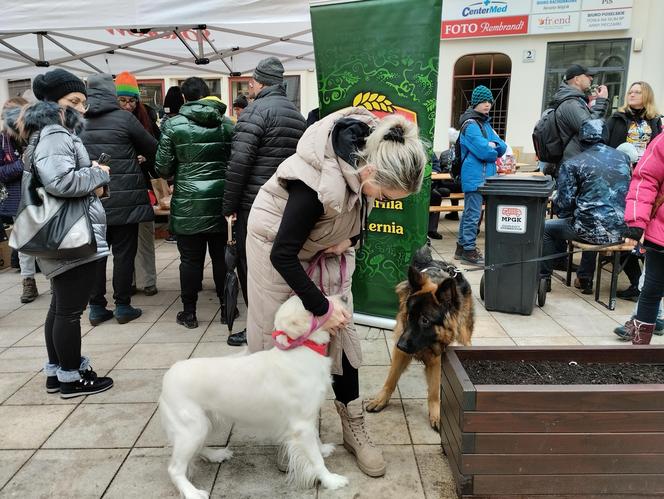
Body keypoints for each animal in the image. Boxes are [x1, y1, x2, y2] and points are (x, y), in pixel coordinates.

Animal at [160, 294, 348, 498]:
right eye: (319, 303)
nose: (345, 297)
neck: (302, 350)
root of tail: (168, 375)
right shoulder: (301, 424)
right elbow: (315, 459)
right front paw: (331, 480)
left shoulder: (308, 416)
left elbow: (316, 439)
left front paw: (323, 449)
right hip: (192, 428)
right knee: (175, 469)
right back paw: (192, 492)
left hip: (204, 423)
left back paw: (216, 455)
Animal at [366, 248, 474, 432]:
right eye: (409, 315)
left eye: (425, 320)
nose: (400, 344)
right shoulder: (401, 352)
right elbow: (391, 378)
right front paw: (381, 399)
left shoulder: (437, 359)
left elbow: (434, 391)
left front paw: (436, 413)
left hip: (465, 333)